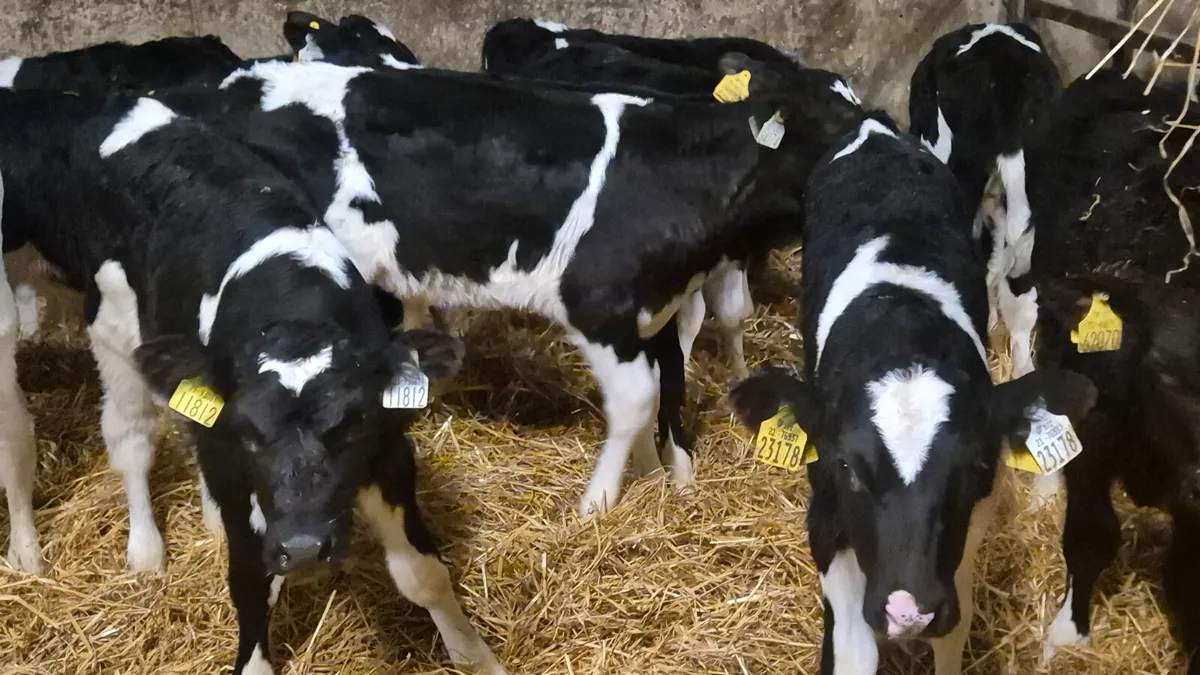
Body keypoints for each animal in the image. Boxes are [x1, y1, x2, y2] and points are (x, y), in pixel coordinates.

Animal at [208, 54, 874, 518]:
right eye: (832, 130)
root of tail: (238, 80)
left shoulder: (653, 311)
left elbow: (669, 386)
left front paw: (658, 473)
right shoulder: (599, 306)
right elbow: (637, 399)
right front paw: (598, 503)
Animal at [728, 119, 1095, 674]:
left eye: (973, 468)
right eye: (847, 466)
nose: (908, 612)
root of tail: (875, 129)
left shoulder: (968, 530)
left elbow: (953, 631)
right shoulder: (825, 519)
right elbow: (854, 646)